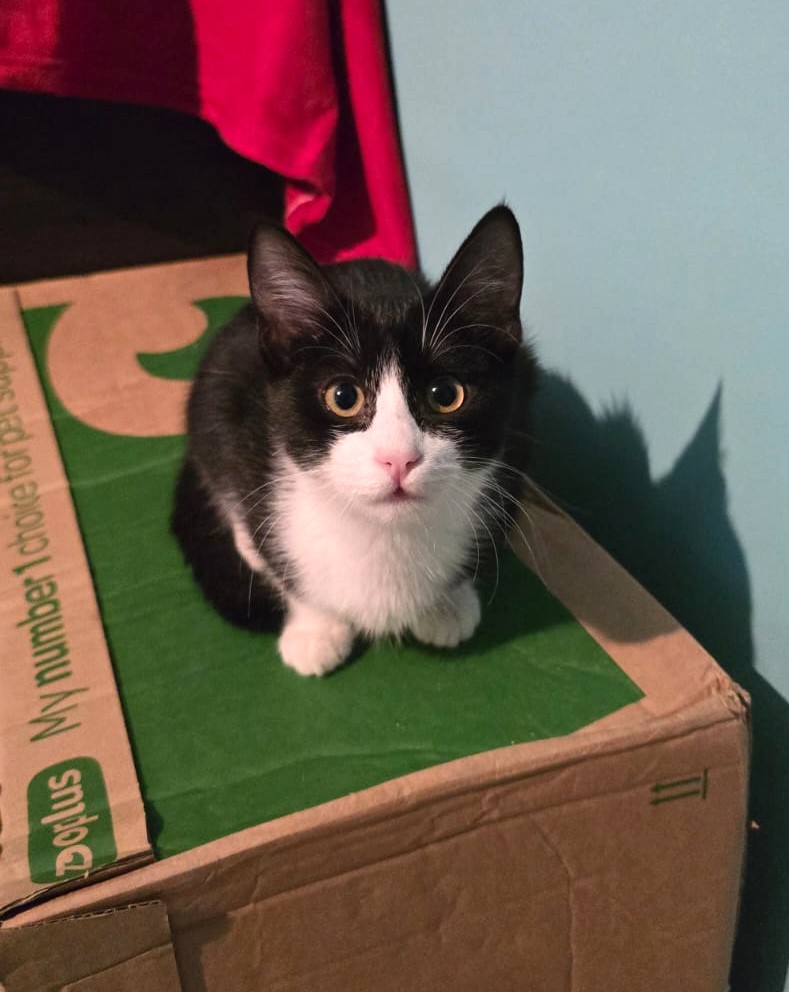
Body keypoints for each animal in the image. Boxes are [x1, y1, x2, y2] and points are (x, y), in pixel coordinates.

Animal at [171, 205, 537, 676]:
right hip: (215, 391)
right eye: (343, 397)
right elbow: (273, 549)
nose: (398, 459)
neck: (385, 536)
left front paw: (447, 604)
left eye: (445, 394)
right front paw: (315, 627)